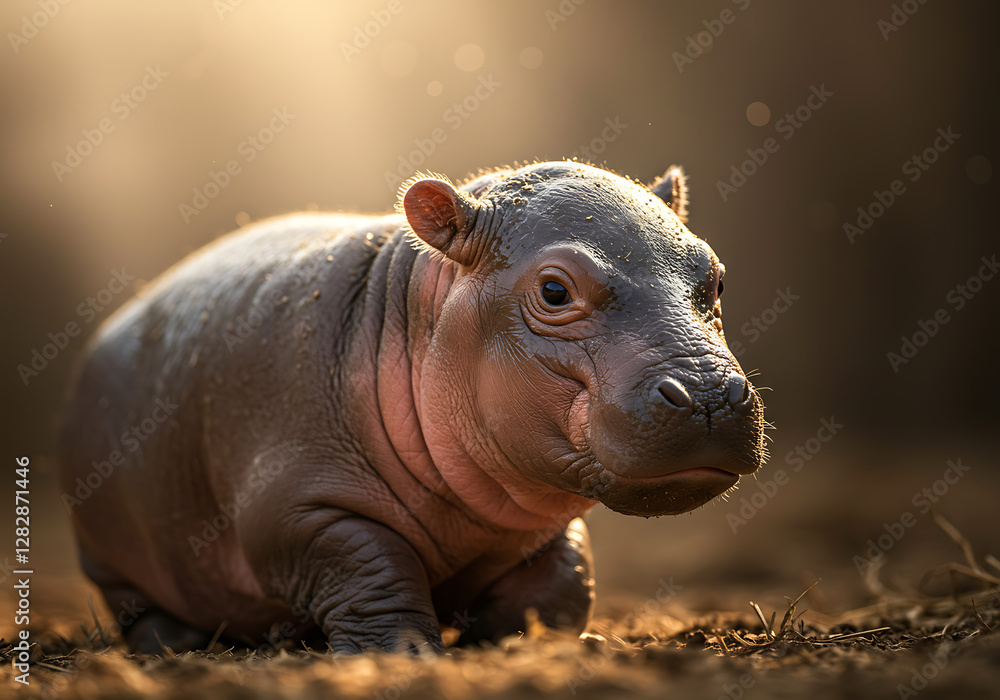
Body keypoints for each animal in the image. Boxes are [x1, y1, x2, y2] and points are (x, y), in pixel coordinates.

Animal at [58, 161, 765, 654]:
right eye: (554, 290)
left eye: (716, 277)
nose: (707, 394)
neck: (411, 306)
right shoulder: (299, 505)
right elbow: (372, 569)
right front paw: (404, 654)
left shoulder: (536, 523)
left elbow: (565, 578)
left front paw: (543, 642)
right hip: (109, 553)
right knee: (138, 605)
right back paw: (178, 645)